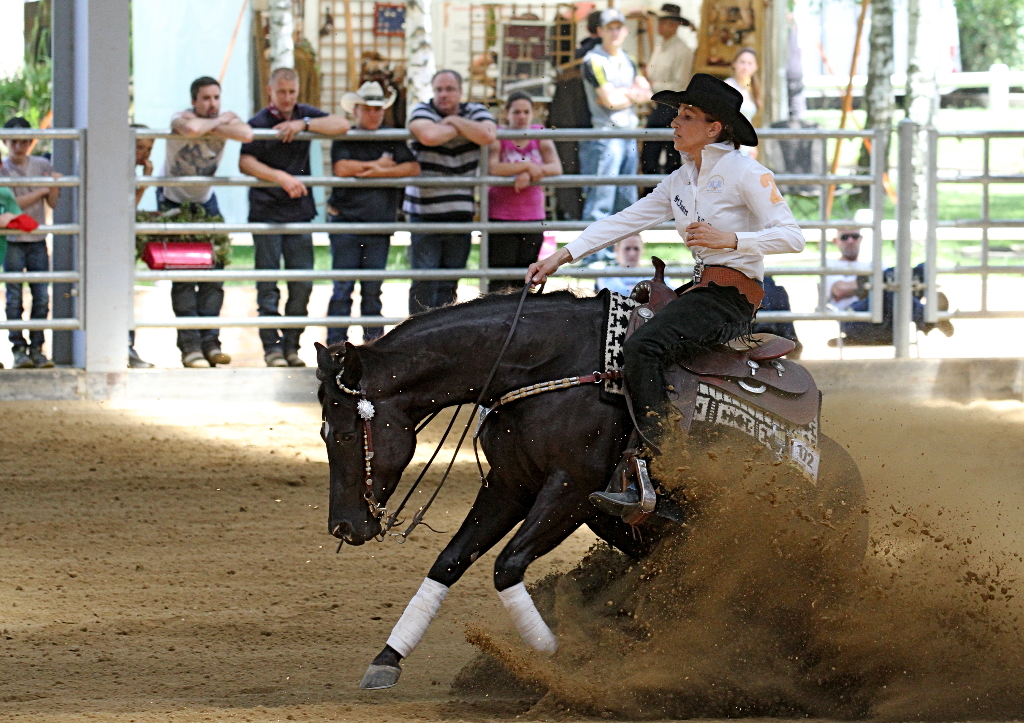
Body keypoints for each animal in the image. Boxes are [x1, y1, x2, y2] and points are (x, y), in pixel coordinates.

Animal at [317, 286, 864, 688]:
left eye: (340, 432)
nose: (343, 527)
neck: (549, 367)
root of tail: (851, 485)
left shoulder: (572, 491)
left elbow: (505, 565)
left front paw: (551, 653)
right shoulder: (510, 484)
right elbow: (449, 562)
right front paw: (387, 658)